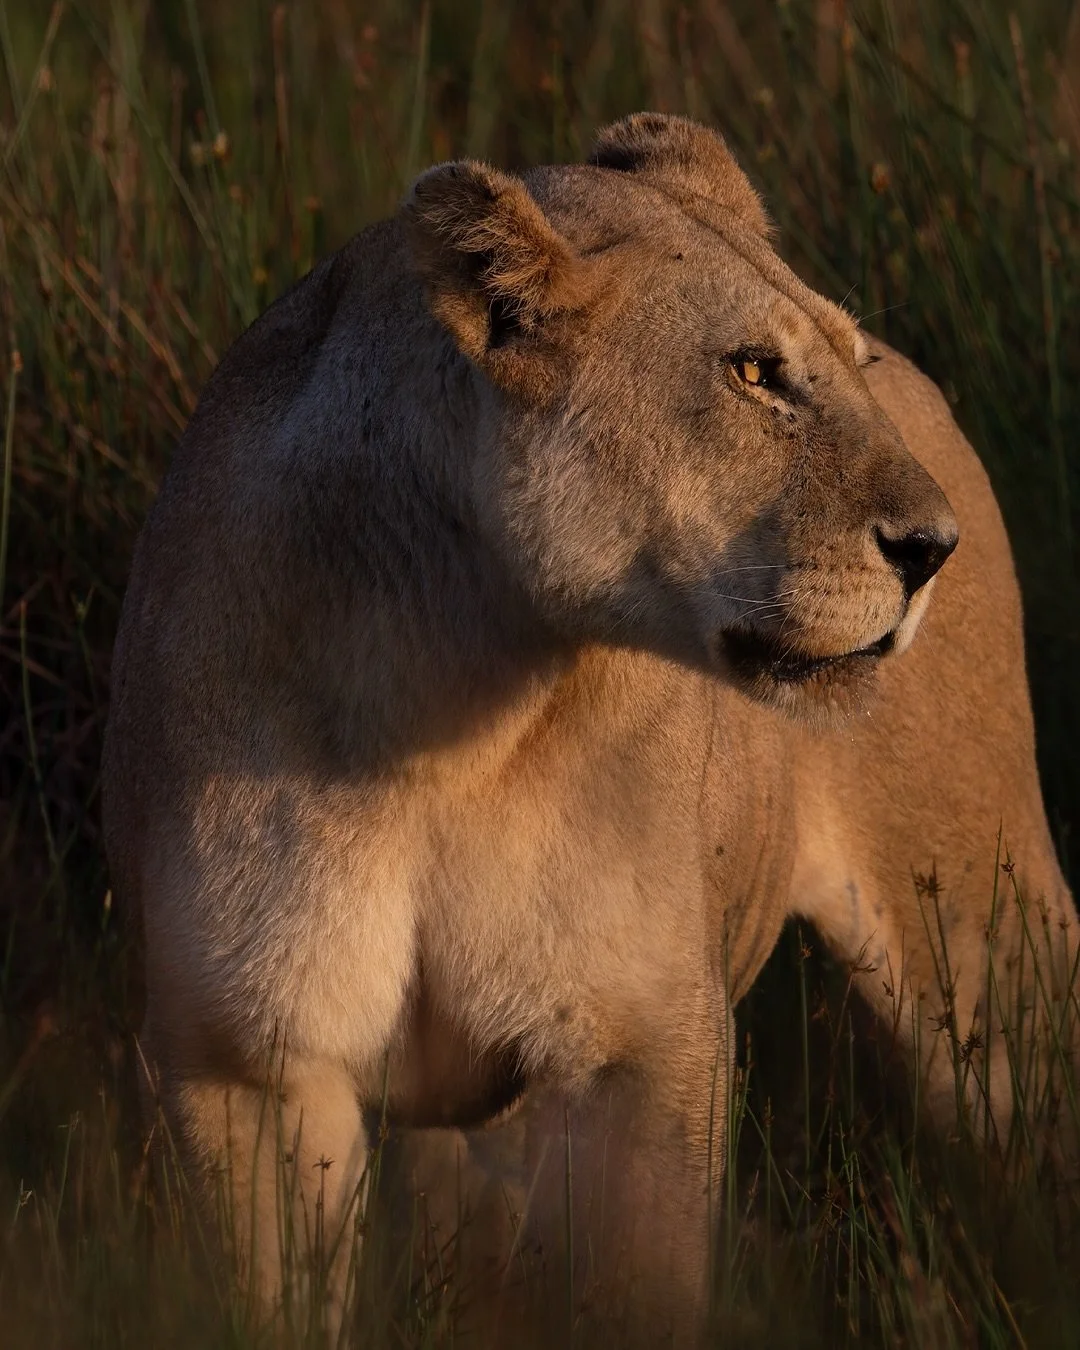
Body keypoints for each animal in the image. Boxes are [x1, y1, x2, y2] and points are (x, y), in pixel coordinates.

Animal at [102, 113, 1074, 1345]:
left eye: (848, 365)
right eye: (754, 373)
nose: (932, 548)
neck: (447, 698)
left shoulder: (643, 1047)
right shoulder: (245, 1063)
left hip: (982, 943)